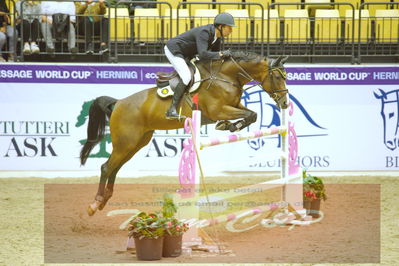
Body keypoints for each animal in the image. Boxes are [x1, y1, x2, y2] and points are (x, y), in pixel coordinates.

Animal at [81, 51, 290, 215]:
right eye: (278, 77)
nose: (285, 103)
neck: (226, 76)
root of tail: (118, 103)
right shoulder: (219, 109)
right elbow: (250, 114)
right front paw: (230, 126)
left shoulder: (234, 105)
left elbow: (252, 114)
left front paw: (229, 125)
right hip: (126, 142)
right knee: (106, 167)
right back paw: (94, 204)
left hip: (136, 143)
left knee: (115, 167)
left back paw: (105, 199)